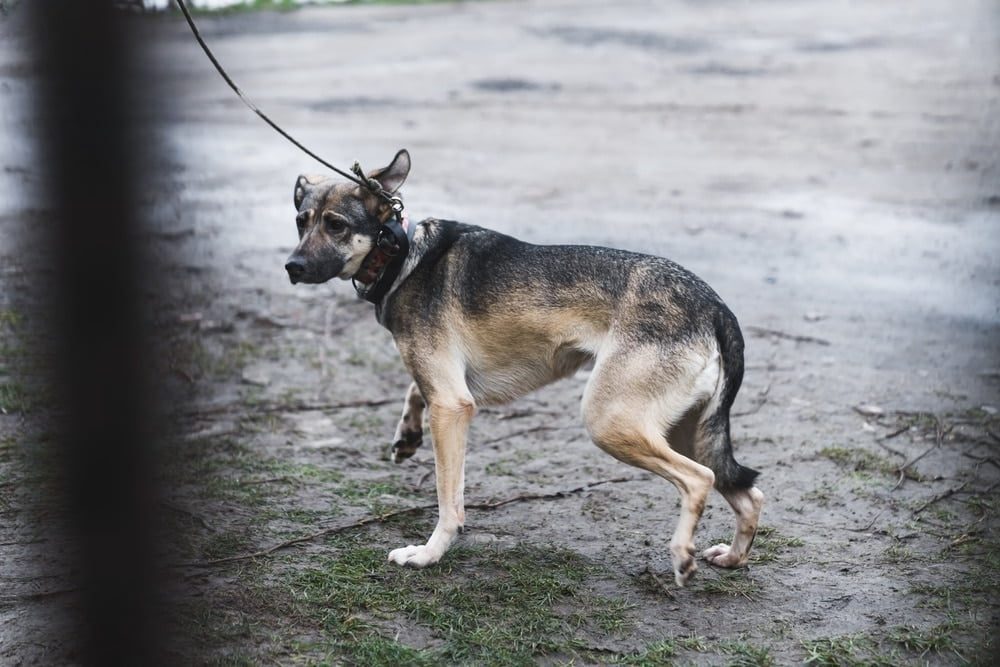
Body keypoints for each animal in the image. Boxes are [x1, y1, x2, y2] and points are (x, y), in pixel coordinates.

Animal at [286, 150, 760, 584]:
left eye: (336, 224)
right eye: (301, 221)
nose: (292, 267)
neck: (401, 253)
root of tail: (715, 306)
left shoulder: (452, 407)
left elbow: (449, 501)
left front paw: (428, 554)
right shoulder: (447, 392)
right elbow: (415, 391)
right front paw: (406, 435)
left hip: (612, 423)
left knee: (698, 480)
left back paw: (682, 556)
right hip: (685, 432)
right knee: (748, 495)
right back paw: (732, 558)